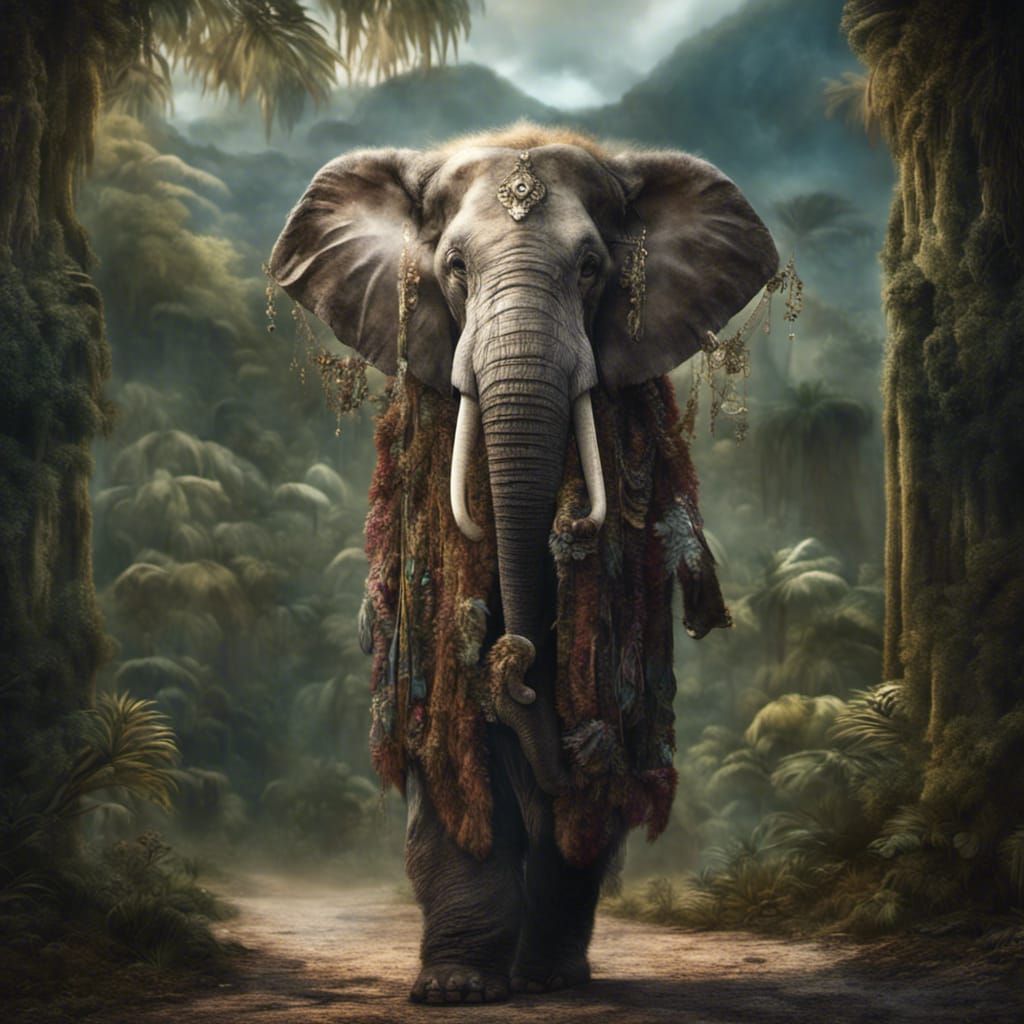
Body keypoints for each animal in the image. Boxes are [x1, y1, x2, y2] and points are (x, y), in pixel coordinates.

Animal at [270, 124, 777, 1003]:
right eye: (454, 270)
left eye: (592, 269)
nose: (515, 659)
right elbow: (449, 730)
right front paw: (454, 990)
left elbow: (592, 720)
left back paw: (552, 976)